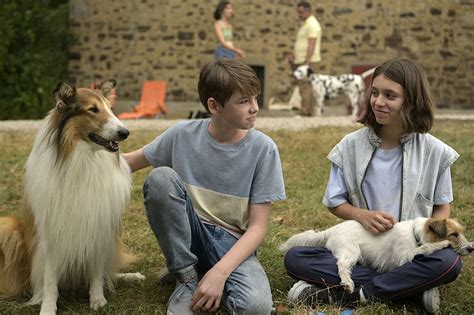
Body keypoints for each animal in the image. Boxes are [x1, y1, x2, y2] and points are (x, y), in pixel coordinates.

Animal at [0, 81, 144, 314]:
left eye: (111, 109)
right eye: (93, 109)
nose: (125, 133)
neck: (82, 158)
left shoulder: (100, 227)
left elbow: (97, 272)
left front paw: (97, 299)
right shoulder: (51, 233)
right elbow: (50, 280)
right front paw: (48, 307)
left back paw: (130, 276)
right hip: (9, 229)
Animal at [280, 217, 472, 294]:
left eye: (461, 232)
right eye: (453, 235)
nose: (471, 248)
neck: (415, 234)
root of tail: (332, 230)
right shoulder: (406, 255)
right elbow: (427, 247)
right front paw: (443, 244)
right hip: (351, 250)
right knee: (341, 265)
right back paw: (348, 284)